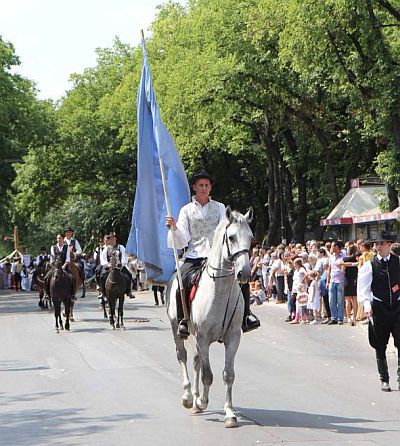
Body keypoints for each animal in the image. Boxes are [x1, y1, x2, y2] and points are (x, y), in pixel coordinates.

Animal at [166, 206, 253, 428]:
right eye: (231, 237)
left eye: (251, 237)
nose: (244, 273)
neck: (220, 291)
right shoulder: (203, 338)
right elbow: (208, 375)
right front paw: (202, 401)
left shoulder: (233, 338)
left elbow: (228, 375)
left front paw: (230, 413)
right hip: (177, 329)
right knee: (183, 356)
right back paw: (189, 397)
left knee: (196, 361)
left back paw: (195, 399)